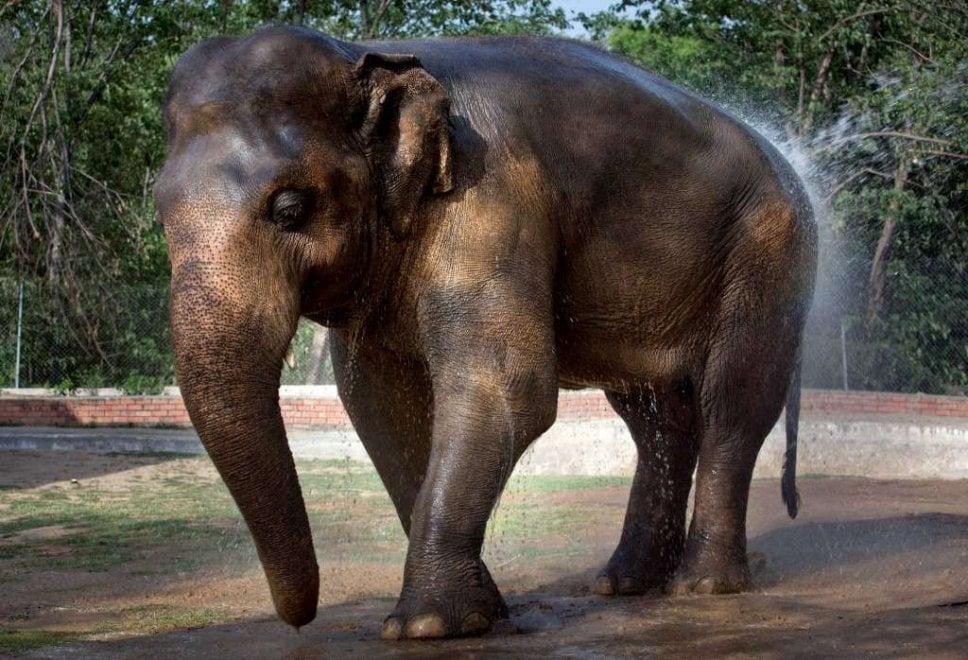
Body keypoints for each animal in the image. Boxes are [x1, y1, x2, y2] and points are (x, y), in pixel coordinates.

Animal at [155, 26, 817, 640]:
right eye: (159, 212)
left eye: (290, 208)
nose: (299, 623)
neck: (365, 52)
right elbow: (380, 406)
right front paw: (483, 614)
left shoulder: (492, 199)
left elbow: (505, 387)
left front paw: (424, 626)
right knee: (656, 416)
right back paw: (625, 584)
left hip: (768, 248)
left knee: (733, 401)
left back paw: (703, 586)